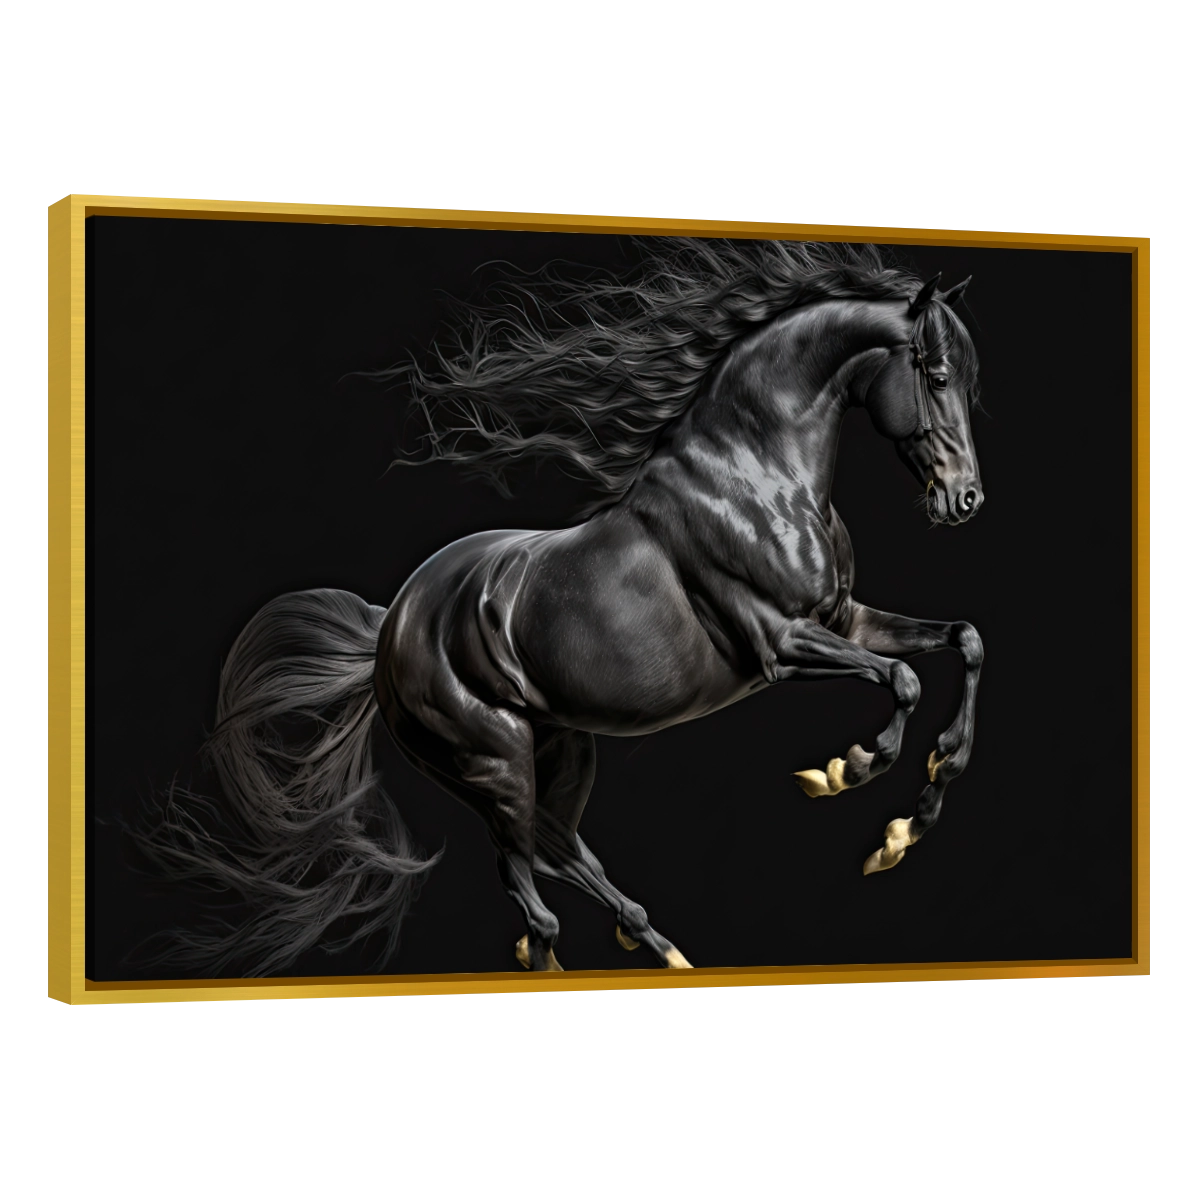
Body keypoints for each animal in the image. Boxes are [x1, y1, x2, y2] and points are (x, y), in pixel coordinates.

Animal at [130, 238, 985, 978]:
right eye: (937, 374)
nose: (965, 500)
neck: (753, 476)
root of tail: (391, 624)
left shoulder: (843, 618)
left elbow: (964, 641)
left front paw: (909, 821)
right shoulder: (780, 644)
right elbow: (903, 680)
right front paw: (847, 773)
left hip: (561, 745)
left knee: (562, 848)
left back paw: (663, 948)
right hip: (494, 759)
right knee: (524, 874)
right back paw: (565, 953)